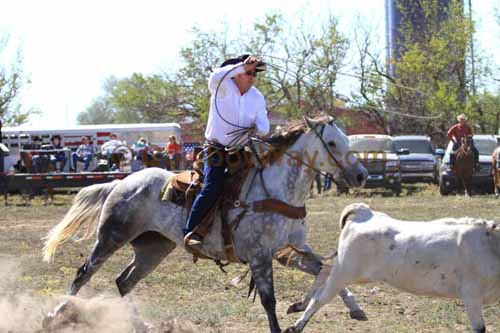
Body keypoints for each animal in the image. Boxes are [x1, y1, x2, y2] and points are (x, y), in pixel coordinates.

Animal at [43, 115, 370, 330]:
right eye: (331, 143)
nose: (361, 176)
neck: (276, 190)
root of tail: (122, 182)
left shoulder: (290, 250)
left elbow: (328, 271)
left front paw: (351, 309)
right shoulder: (260, 256)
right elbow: (269, 302)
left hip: (154, 248)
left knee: (124, 281)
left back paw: (142, 325)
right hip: (112, 237)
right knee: (83, 274)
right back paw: (53, 315)